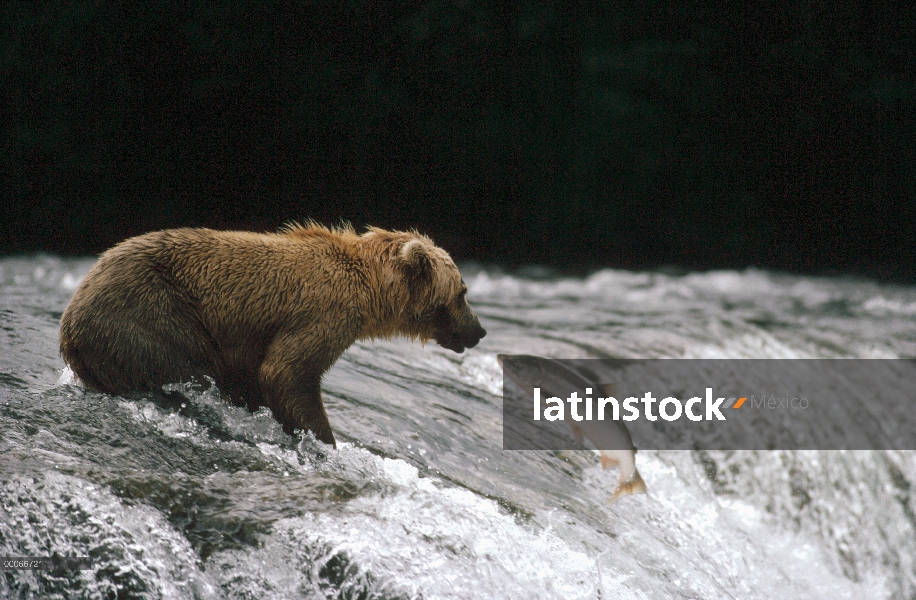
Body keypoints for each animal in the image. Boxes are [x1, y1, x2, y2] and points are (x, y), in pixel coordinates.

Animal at [59, 224, 486, 446]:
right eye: (463, 292)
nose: (479, 331)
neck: (371, 290)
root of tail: (69, 328)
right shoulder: (322, 316)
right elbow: (287, 374)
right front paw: (324, 440)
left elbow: (254, 379)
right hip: (152, 311)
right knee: (186, 364)